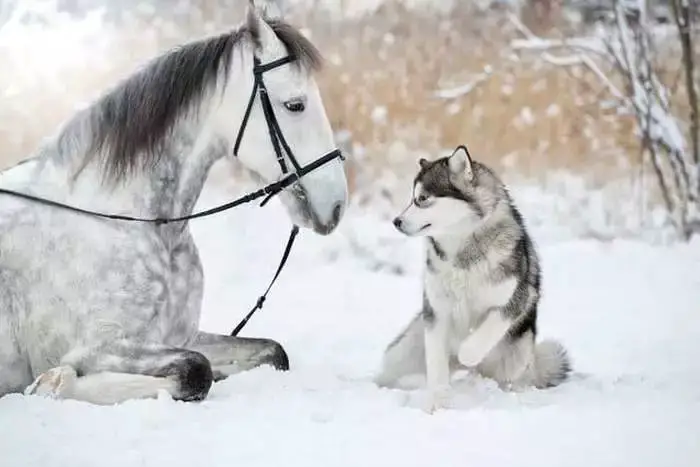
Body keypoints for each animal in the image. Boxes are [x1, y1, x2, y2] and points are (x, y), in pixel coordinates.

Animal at [0, 0, 348, 406]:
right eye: (295, 105)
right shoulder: (98, 346)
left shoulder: (180, 336)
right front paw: (54, 383)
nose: (337, 205)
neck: (127, 220)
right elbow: (195, 371)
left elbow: (271, 352)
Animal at [374, 146, 572, 406]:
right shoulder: (436, 312)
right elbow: (436, 364)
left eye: (422, 199)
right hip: (404, 351)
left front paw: (467, 352)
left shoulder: (515, 300)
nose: (396, 221)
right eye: (412, 198)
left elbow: (483, 335)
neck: (461, 253)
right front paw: (437, 400)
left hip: (518, 357)